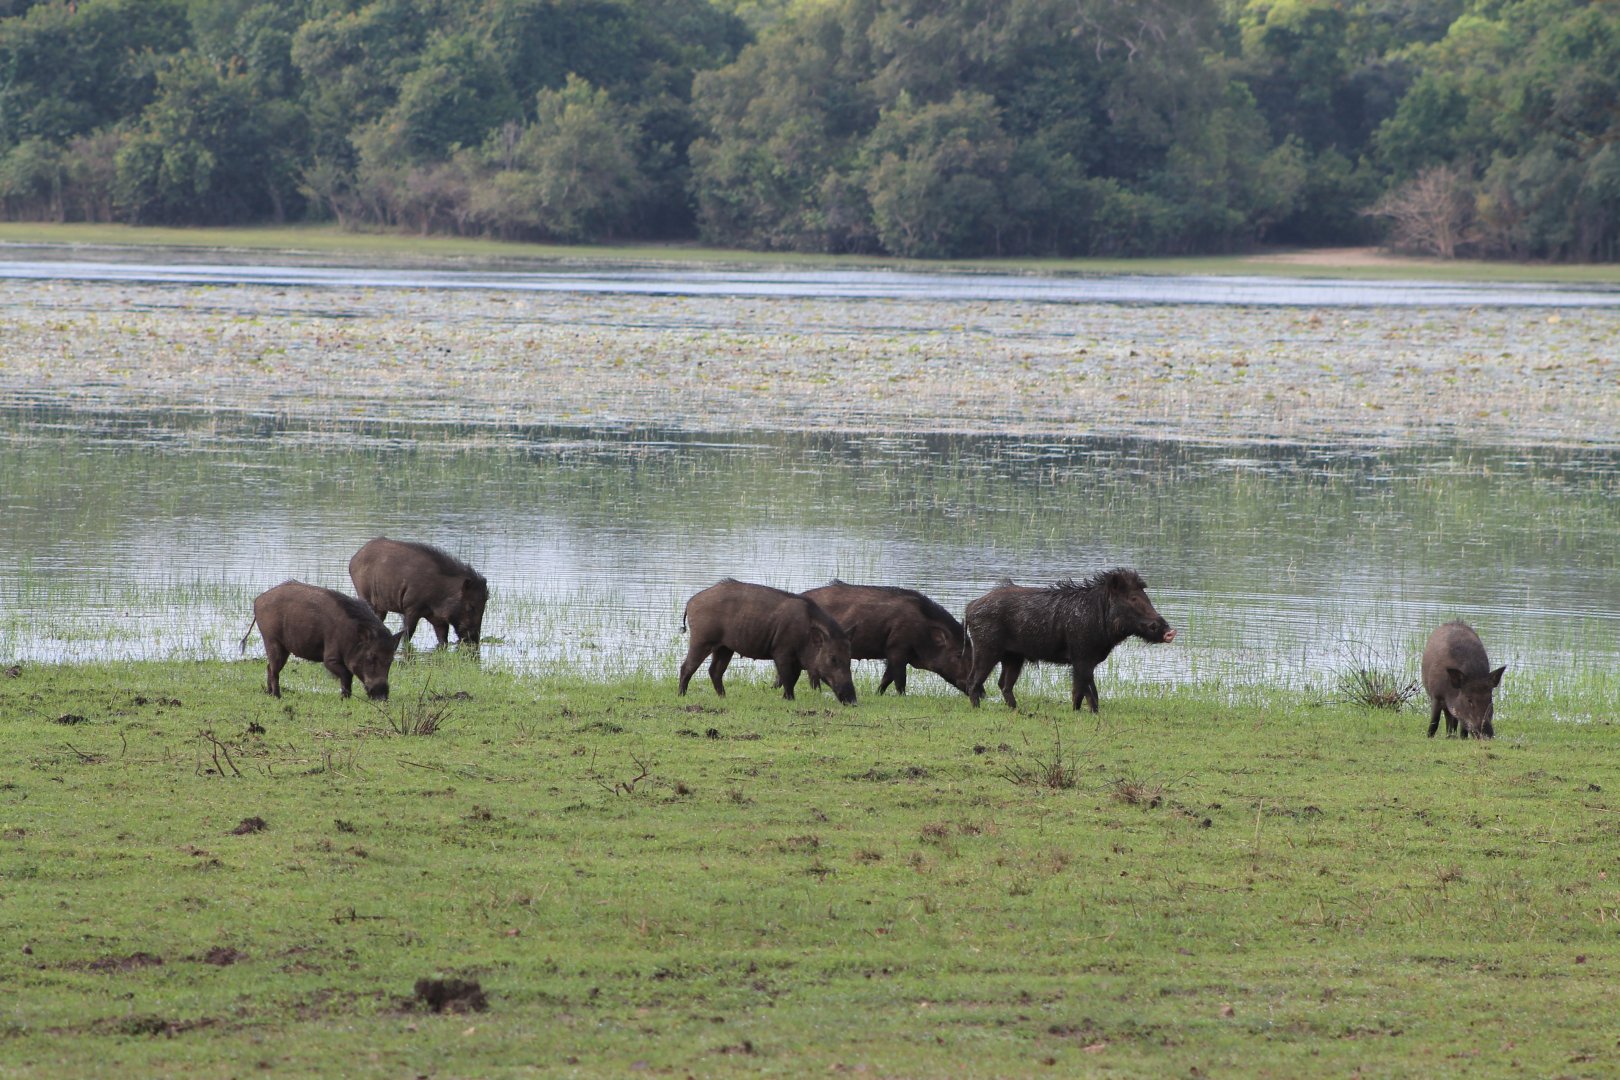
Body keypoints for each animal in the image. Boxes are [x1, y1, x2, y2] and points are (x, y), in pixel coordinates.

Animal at [241, 580, 403, 699]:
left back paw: (269, 693)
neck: (352, 636)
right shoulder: (330, 659)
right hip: (272, 641)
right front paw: (345, 698)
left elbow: (348, 675)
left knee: (269, 667)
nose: (382, 697)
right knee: (274, 670)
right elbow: (347, 674)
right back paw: (277, 696)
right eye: (371, 657)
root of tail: (257, 600)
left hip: (282, 647)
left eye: (390, 660)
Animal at [348, 537, 488, 647]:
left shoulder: (436, 618)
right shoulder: (411, 608)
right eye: (471, 606)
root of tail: (354, 559)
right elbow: (407, 634)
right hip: (365, 595)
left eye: (484, 606)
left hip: (381, 606)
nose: (475, 639)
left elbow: (443, 639)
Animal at [678, 579, 857, 705]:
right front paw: (790, 699)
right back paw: (681, 695)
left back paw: (723, 697)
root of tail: (690, 602)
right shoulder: (781, 653)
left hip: (724, 648)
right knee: (686, 667)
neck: (806, 633)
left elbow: (794, 678)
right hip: (701, 641)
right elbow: (788, 678)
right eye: (833, 658)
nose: (853, 701)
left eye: (849, 658)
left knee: (714, 671)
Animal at [801, 580, 971, 695]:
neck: (922, 631)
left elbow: (887, 678)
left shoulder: (894, 654)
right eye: (958, 654)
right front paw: (902, 697)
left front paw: (878, 694)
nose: (976, 691)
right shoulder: (897, 649)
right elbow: (900, 679)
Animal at [964, 568, 1175, 712]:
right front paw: (1083, 712)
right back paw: (978, 709)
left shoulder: (1087, 660)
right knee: (973, 681)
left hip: (1013, 656)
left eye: (1146, 597)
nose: (1169, 631)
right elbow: (1084, 691)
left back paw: (1017, 710)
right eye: (1133, 598)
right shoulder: (1081, 657)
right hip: (986, 648)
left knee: (1004, 685)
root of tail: (970, 607)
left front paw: (1086, 712)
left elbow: (1086, 691)